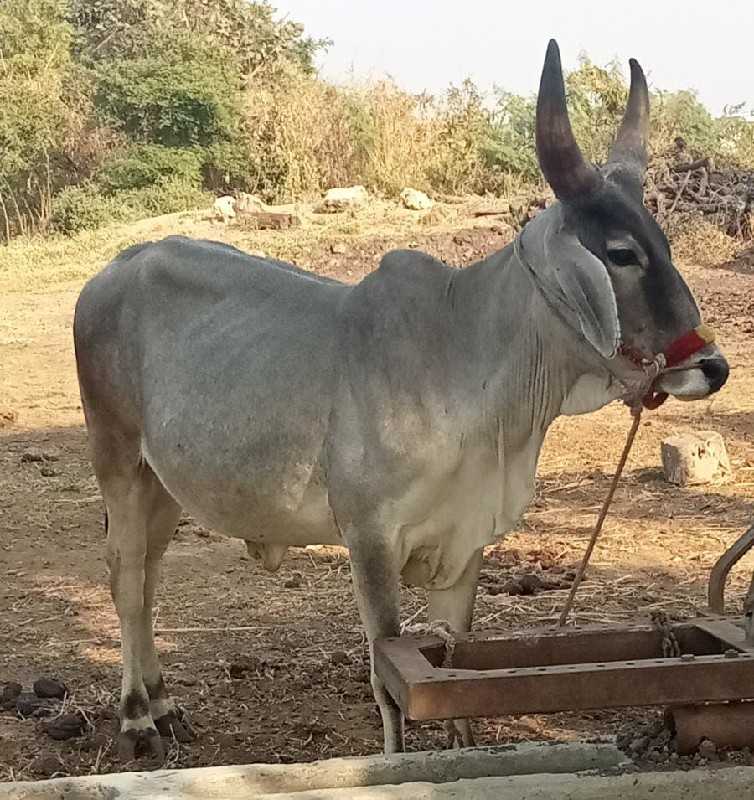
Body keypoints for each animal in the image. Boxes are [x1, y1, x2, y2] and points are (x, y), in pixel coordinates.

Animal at [73, 39, 724, 764]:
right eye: (622, 253)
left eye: (663, 242)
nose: (713, 367)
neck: (464, 359)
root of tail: (117, 266)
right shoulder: (370, 540)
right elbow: (389, 682)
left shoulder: (465, 548)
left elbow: (457, 666)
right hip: (117, 459)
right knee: (126, 579)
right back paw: (136, 717)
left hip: (162, 482)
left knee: (149, 577)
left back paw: (164, 706)